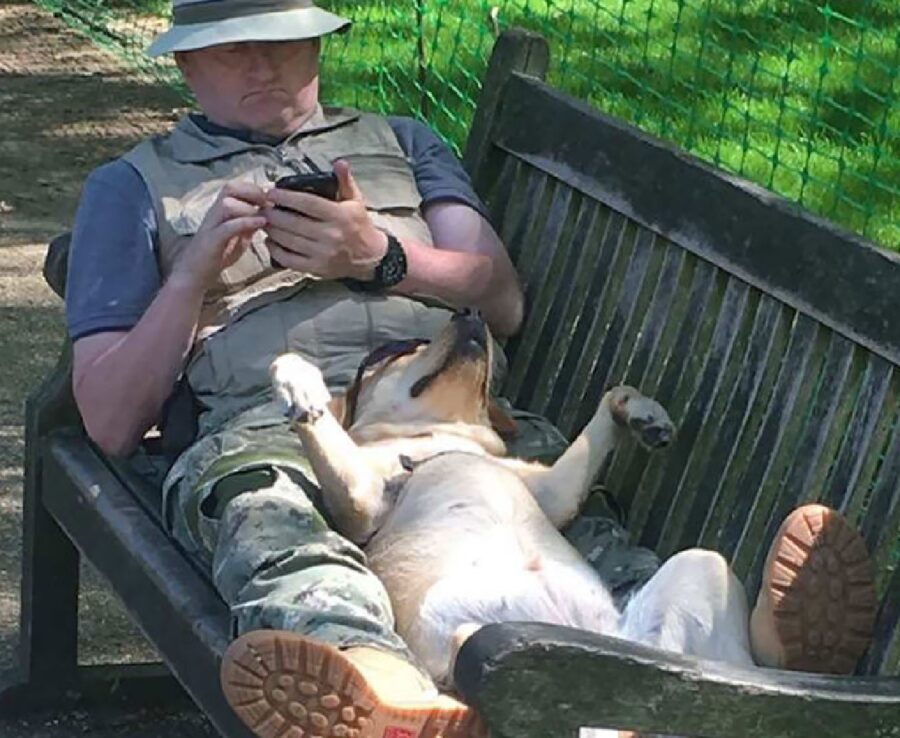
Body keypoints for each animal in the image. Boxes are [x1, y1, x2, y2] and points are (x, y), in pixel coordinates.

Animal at [268, 304, 676, 680]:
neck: (439, 436)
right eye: (400, 350)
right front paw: (298, 382)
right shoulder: (363, 501)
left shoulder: (554, 492)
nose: (470, 311)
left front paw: (643, 412)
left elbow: (611, 400)